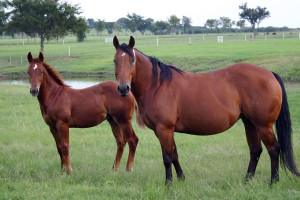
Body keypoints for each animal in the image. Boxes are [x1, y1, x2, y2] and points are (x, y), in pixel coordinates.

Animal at [112, 36, 300, 184]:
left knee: (274, 149)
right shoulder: (165, 131)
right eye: (115, 61)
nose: (123, 88)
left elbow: (167, 157)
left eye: (132, 60)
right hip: (250, 123)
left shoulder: (164, 129)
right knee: (255, 150)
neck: (157, 84)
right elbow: (174, 154)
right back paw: (247, 180)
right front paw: (181, 178)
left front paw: (169, 183)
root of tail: (269, 73)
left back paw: (273, 181)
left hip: (264, 125)